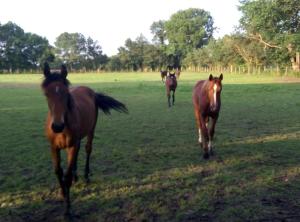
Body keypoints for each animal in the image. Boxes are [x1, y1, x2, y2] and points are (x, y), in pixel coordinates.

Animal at [41, 62, 127, 213]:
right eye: (46, 94)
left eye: (66, 93)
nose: (57, 126)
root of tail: (91, 92)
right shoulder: (54, 147)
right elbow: (58, 171)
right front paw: (63, 193)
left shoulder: (72, 145)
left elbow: (67, 176)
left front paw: (68, 209)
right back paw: (77, 176)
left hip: (90, 131)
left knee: (87, 149)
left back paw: (86, 175)